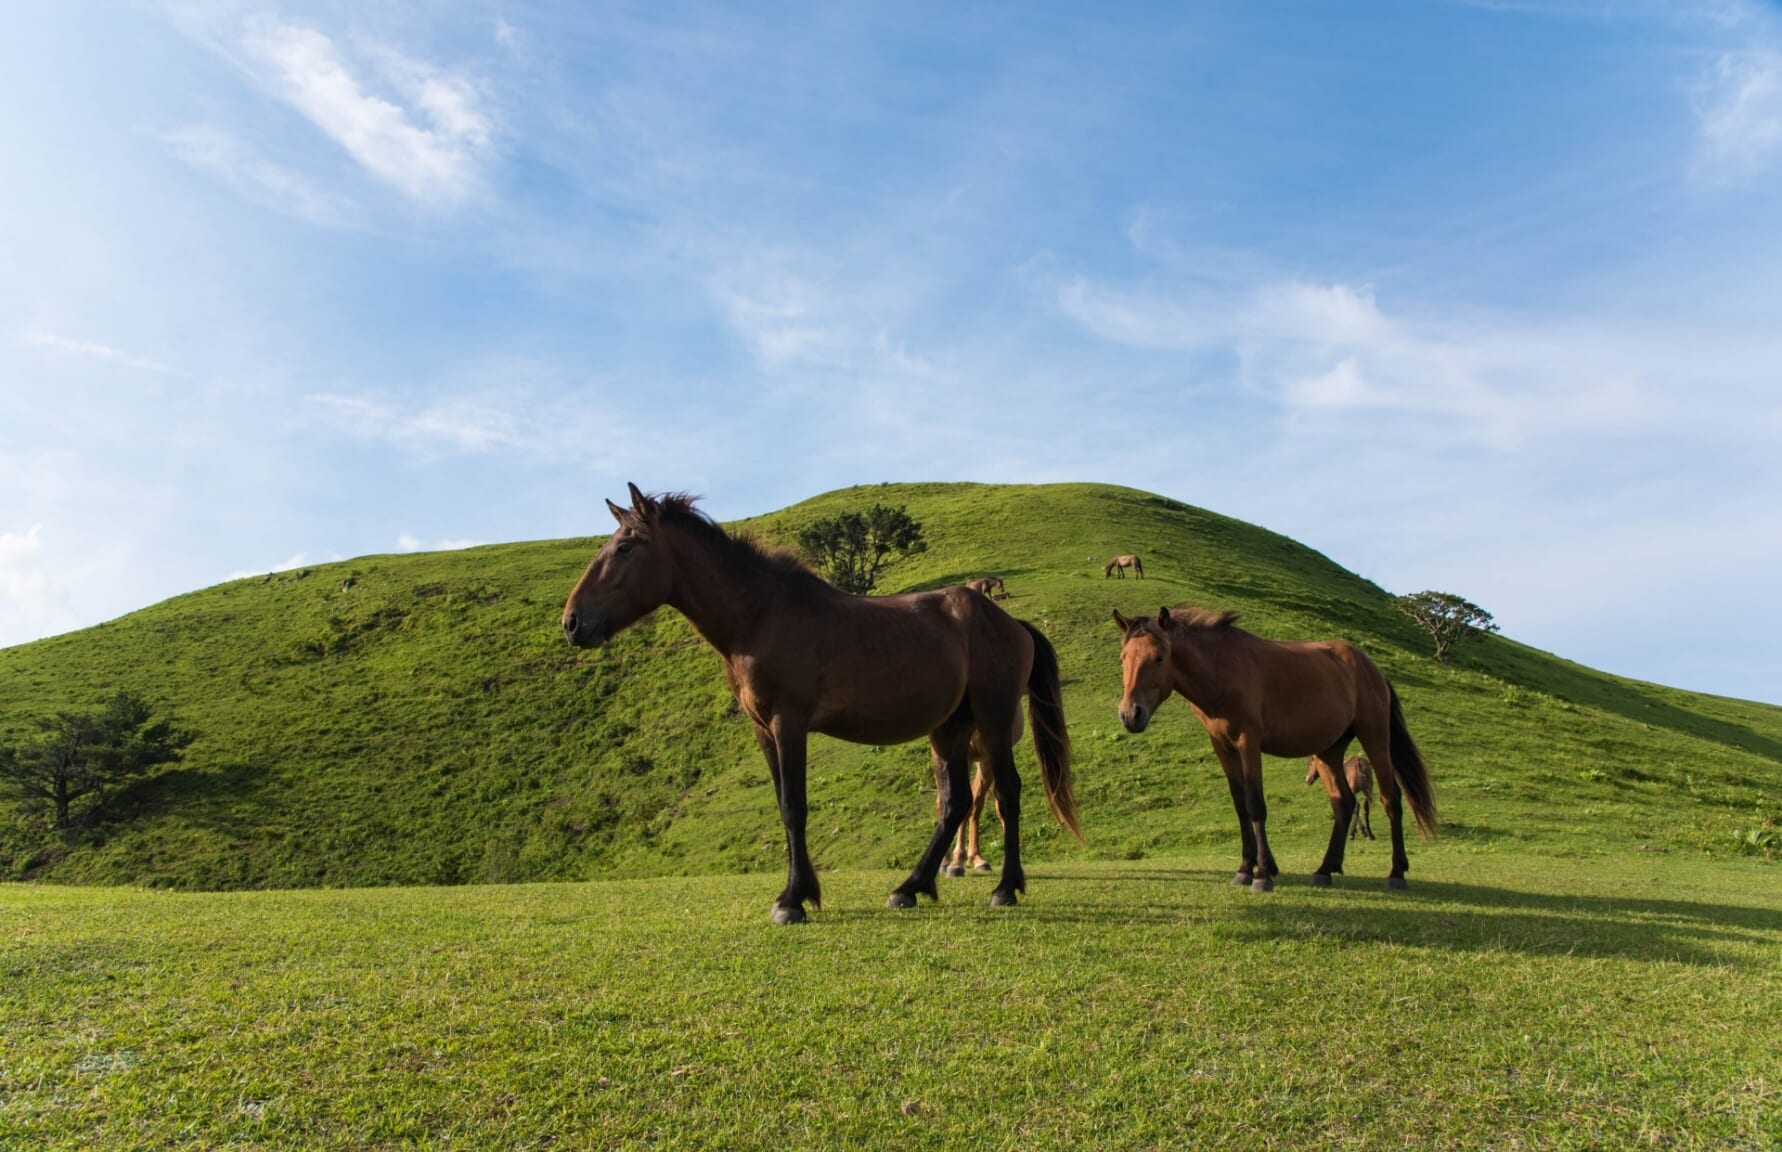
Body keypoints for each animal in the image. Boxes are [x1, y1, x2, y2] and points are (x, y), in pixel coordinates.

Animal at [563, 488, 1076, 927]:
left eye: (624, 548)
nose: (572, 622)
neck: (761, 616)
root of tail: (1011, 623)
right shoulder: (762, 729)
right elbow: (783, 803)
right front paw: (801, 892)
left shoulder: (788, 722)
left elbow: (794, 806)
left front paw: (793, 900)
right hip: (949, 727)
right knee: (955, 803)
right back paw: (910, 888)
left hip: (992, 719)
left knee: (1007, 794)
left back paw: (1005, 888)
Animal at [1104, 606, 1439, 895]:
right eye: (1122, 659)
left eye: (1159, 657)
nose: (1130, 714)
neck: (1223, 669)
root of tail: (1373, 669)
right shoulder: (1222, 746)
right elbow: (1240, 806)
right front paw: (1244, 868)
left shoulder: (1248, 742)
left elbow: (1255, 805)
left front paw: (1262, 873)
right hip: (1328, 751)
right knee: (1343, 803)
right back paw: (1325, 869)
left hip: (1375, 738)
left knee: (1391, 799)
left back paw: (1396, 873)